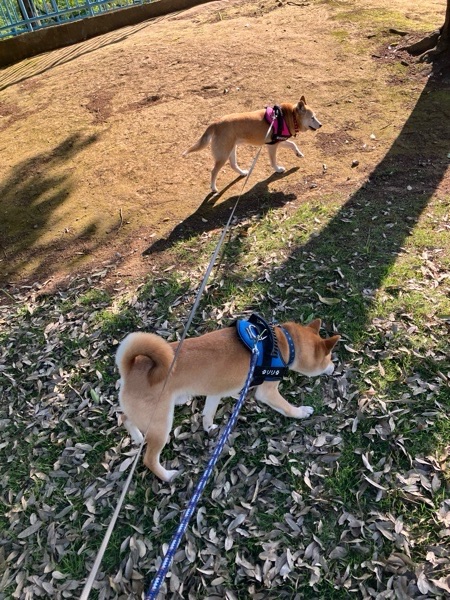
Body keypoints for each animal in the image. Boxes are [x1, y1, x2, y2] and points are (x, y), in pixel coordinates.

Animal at [116, 315, 339, 482]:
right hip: (161, 423)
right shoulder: (268, 391)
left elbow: (208, 413)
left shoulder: (215, 392)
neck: (283, 343)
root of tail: (131, 369)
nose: (333, 366)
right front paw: (301, 412)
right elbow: (287, 407)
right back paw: (167, 475)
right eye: (328, 358)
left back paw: (137, 437)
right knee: (149, 459)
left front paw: (209, 427)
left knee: (125, 418)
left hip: (149, 416)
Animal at [183, 96, 322, 193]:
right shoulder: (272, 146)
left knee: (233, 165)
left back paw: (242, 173)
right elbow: (273, 161)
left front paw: (299, 154)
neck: (288, 117)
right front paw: (278, 169)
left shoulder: (277, 141)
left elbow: (293, 144)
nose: (321, 125)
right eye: (312, 117)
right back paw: (213, 188)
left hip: (231, 150)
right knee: (213, 172)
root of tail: (215, 123)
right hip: (223, 155)